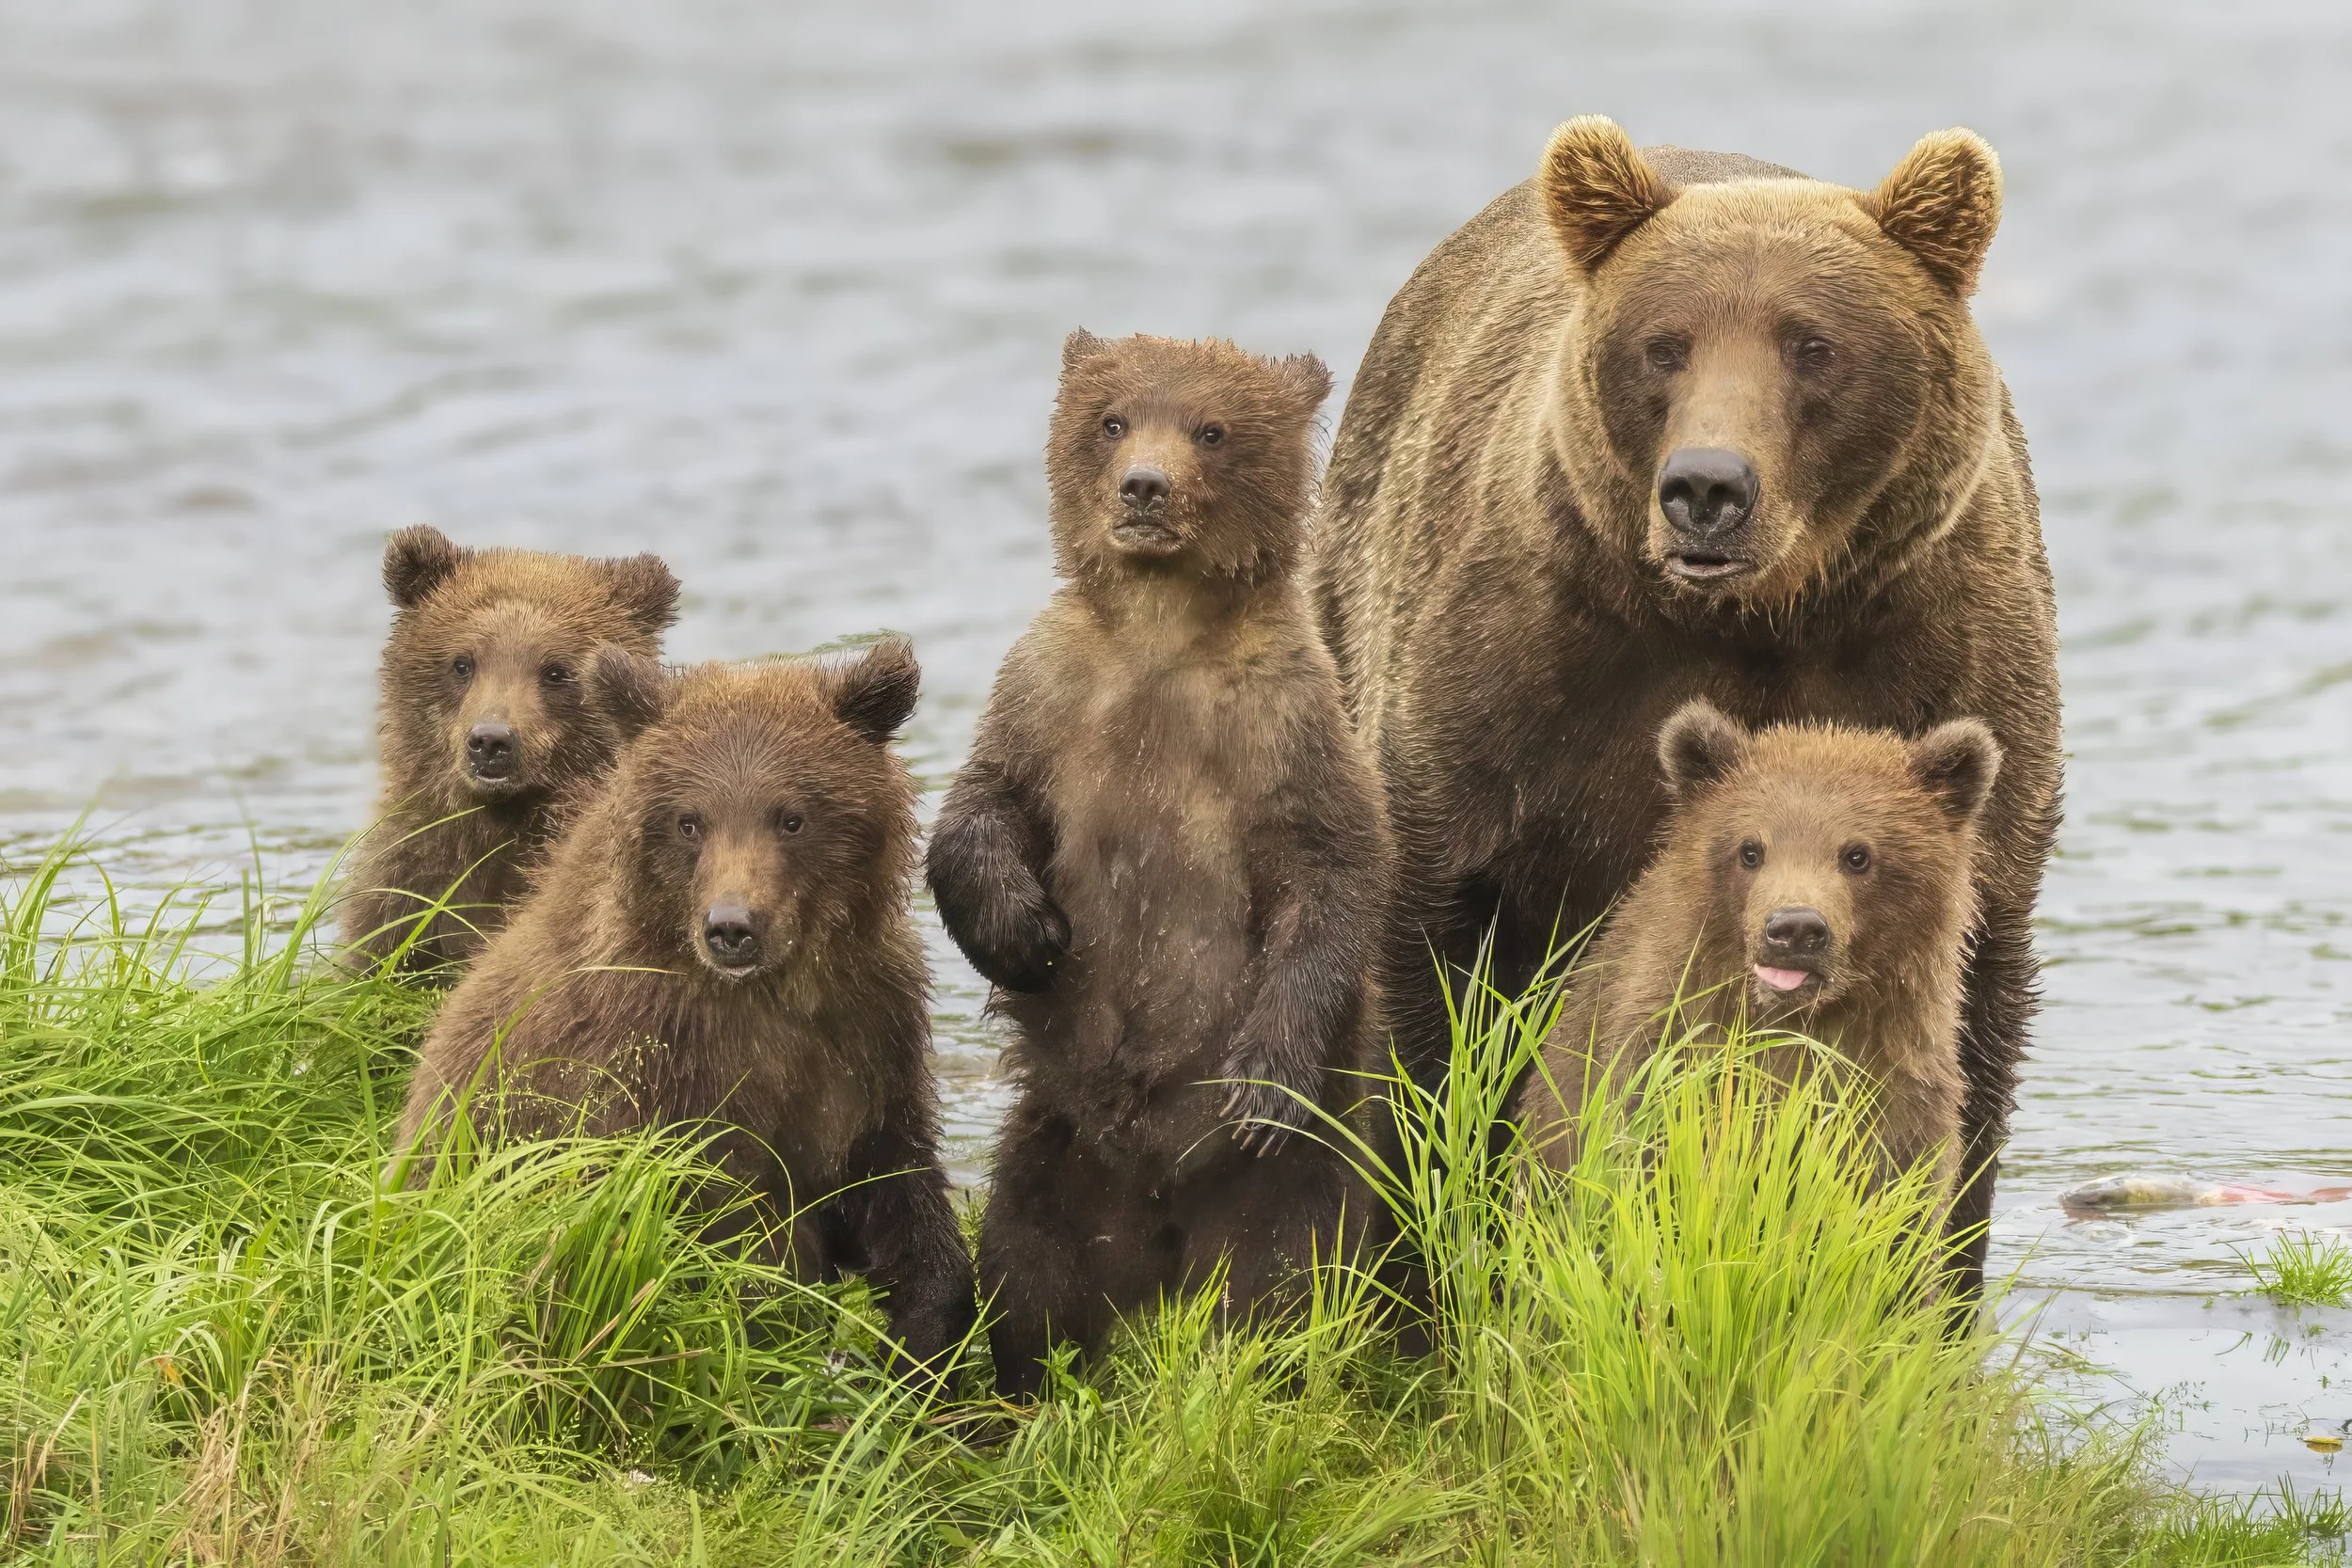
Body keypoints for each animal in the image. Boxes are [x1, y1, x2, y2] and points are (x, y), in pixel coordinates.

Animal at [393, 639, 978, 1380]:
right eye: (689, 820)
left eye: (792, 816)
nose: (732, 926)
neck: (774, 991)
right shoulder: (651, 1057)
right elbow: (718, 1231)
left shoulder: (868, 1029)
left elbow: (896, 1178)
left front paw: (920, 1338)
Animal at [926, 331, 1392, 1399]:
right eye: (1112, 419)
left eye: (1211, 429)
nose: (1143, 485)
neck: (1161, 636)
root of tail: (1160, 1232)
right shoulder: (1050, 693)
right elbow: (979, 807)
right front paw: (1024, 929)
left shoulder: (1285, 726)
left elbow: (1333, 876)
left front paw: (1262, 1078)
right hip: (1052, 1151)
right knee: (1024, 1274)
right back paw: (1024, 1388)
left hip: (1279, 1186)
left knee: (1282, 1287)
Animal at [1523, 700, 2003, 1209]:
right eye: (1750, 850)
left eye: (1858, 854)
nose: (1794, 928)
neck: (1792, 1019)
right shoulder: (1663, 1056)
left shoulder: (1902, 1089)